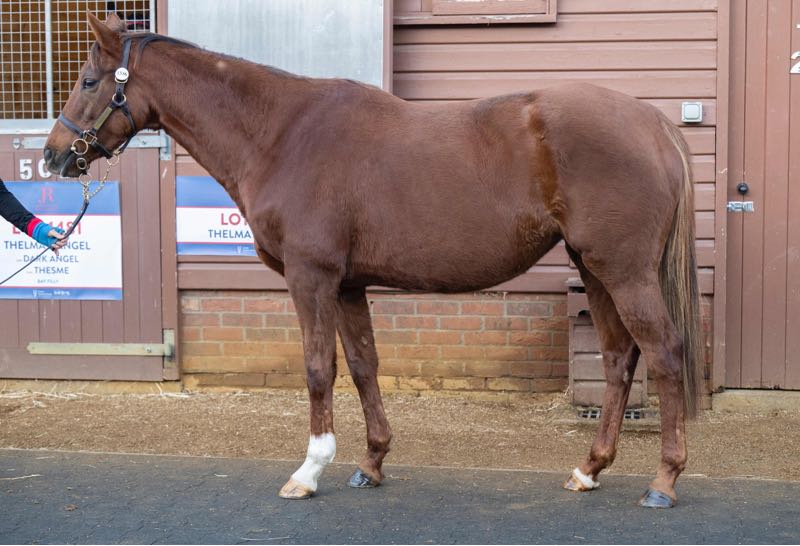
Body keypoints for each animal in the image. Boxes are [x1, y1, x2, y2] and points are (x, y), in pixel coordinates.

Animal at [45, 13, 702, 509]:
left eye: (87, 81)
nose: (54, 157)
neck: (281, 133)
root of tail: (652, 121)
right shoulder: (347, 285)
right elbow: (363, 365)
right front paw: (372, 461)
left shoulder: (311, 278)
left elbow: (318, 369)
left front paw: (309, 471)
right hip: (594, 269)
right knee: (619, 359)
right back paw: (589, 469)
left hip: (623, 270)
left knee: (664, 352)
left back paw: (664, 481)